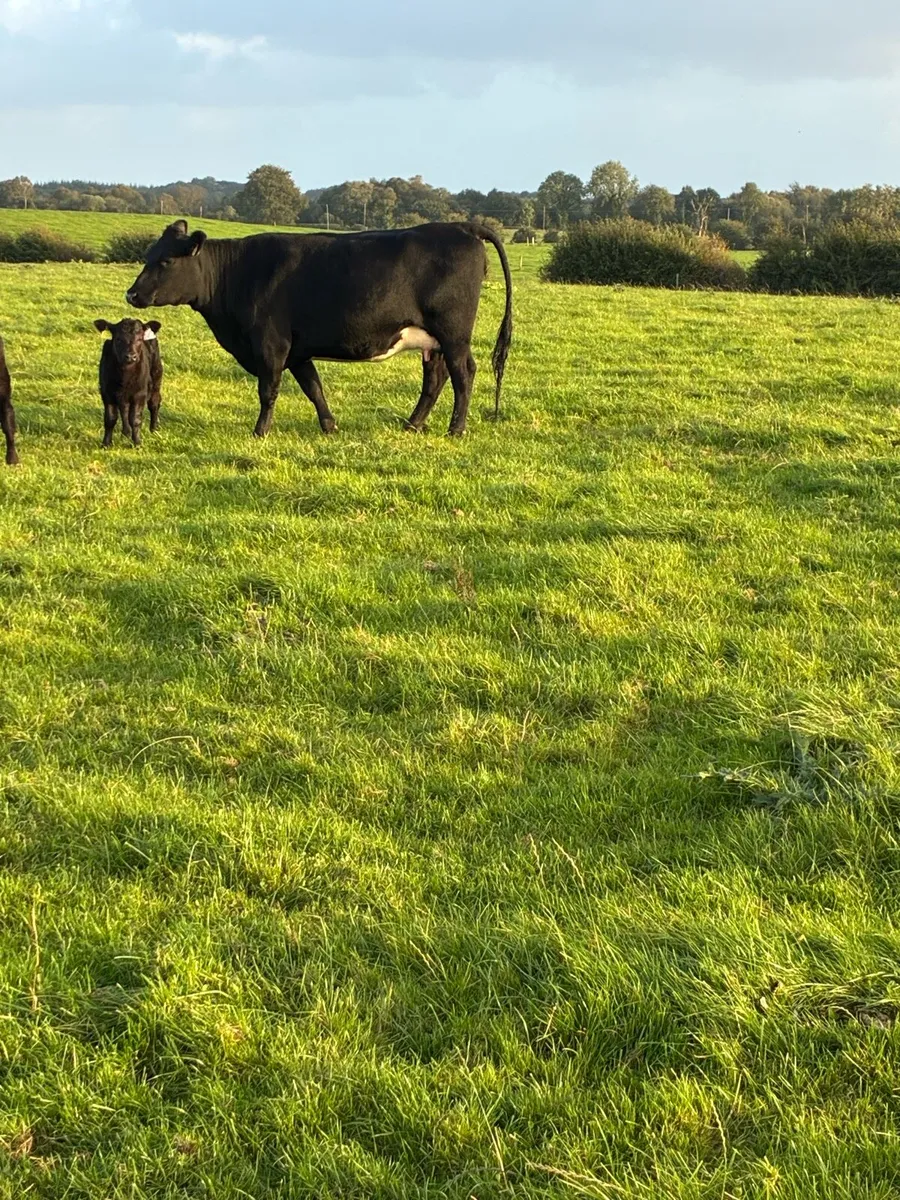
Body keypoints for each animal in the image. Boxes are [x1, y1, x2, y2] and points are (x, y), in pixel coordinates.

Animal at [93, 318, 163, 448]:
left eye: (140, 339)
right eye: (118, 339)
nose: (131, 356)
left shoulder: (140, 394)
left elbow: (135, 419)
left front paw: (137, 443)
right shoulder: (107, 392)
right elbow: (110, 418)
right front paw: (106, 443)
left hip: (156, 377)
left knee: (154, 403)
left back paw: (153, 429)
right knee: (124, 409)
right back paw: (125, 433)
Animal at [125, 220, 512, 439]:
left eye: (166, 260)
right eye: (148, 255)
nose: (131, 294)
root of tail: (462, 226)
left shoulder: (271, 345)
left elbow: (268, 391)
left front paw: (260, 432)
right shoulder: (297, 351)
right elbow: (313, 388)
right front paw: (329, 426)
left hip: (454, 333)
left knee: (463, 373)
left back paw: (456, 429)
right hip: (434, 340)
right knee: (436, 377)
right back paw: (412, 425)